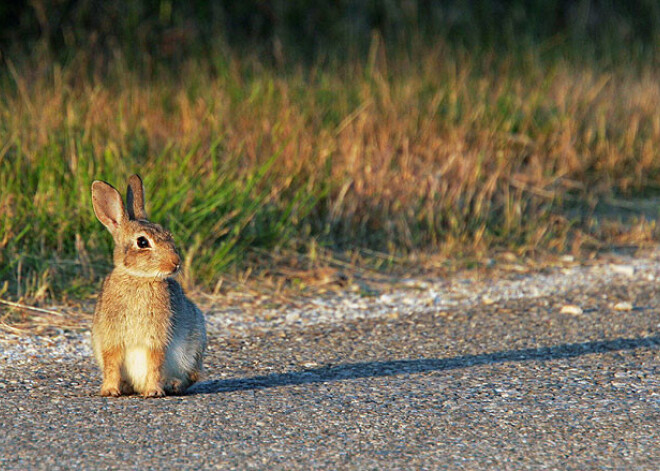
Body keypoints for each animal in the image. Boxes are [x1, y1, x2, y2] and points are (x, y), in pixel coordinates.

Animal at [89, 174, 205, 398]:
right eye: (142, 242)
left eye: (168, 235)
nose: (176, 262)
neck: (139, 277)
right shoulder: (111, 339)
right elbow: (111, 364)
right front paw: (109, 390)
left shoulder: (157, 339)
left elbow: (155, 364)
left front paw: (153, 391)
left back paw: (171, 385)